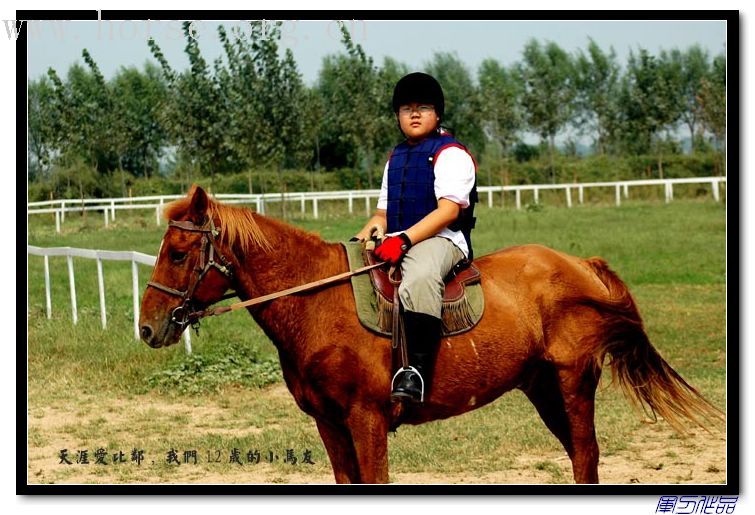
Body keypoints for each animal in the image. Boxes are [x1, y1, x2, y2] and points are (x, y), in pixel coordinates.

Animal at [139, 185, 723, 484]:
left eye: (180, 253)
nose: (147, 327)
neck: (319, 302)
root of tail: (580, 264)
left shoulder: (367, 419)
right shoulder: (330, 424)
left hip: (574, 382)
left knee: (585, 455)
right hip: (541, 387)